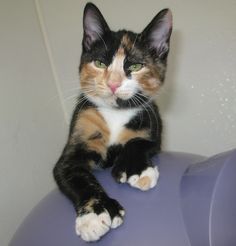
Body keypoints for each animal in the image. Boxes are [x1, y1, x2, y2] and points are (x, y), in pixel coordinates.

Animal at [53, 2, 171, 242]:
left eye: (135, 66)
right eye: (100, 63)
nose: (113, 83)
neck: (116, 112)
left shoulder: (152, 121)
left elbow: (140, 142)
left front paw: (137, 170)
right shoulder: (77, 135)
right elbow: (74, 174)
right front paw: (95, 216)